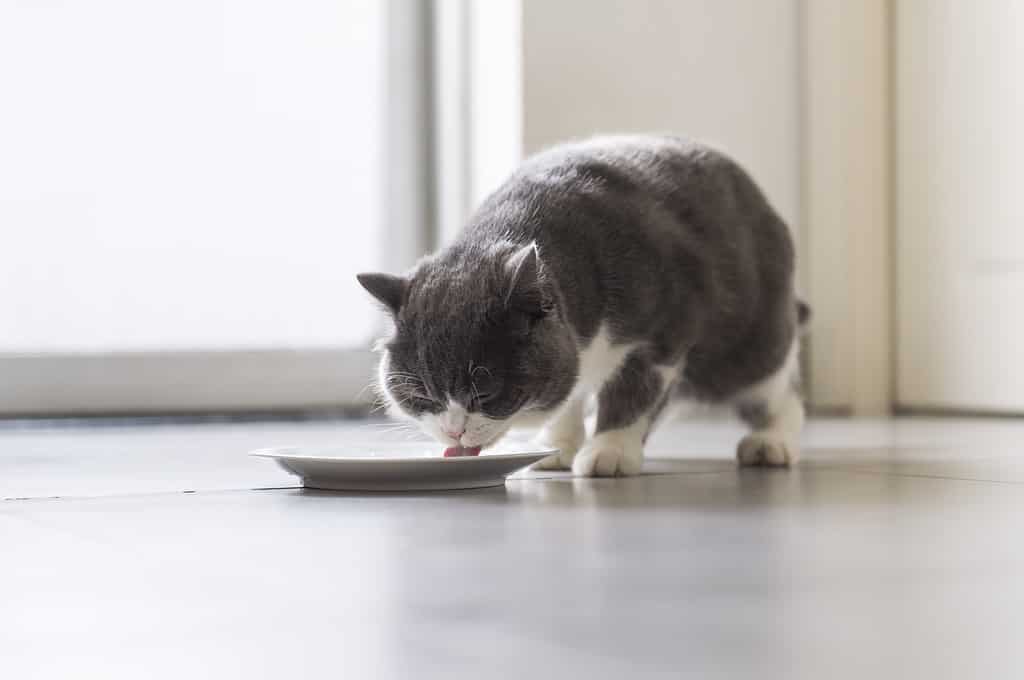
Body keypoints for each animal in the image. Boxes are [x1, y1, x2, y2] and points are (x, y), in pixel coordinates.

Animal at [360, 135, 806, 477]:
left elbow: (634, 391)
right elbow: (568, 396)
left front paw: (611, 449)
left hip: (748, 345)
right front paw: (557, 445)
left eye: (483, 393)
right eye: (423, 396)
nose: (454, 433)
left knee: (776, 389)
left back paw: (772, 440)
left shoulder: (664, 329)